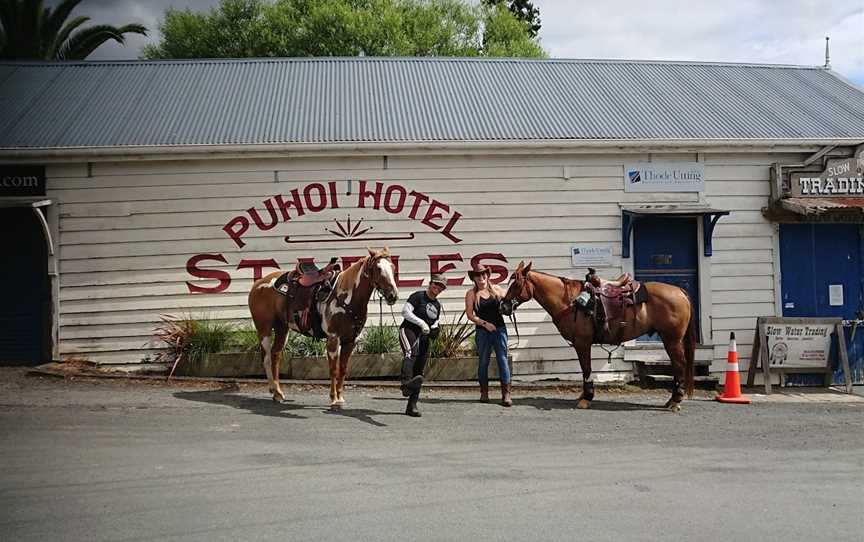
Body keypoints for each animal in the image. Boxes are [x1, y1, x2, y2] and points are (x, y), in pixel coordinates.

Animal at [248, 250, 400, 408]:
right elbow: (333, 370)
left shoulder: (350, 341)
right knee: (266, 358)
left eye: (392, 267)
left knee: (275, 355)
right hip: (264, 329)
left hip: (282, 329)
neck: (345, 299)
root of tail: (258, 284)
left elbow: (343, 369)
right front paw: (333, 399)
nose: (393, 295)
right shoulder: (333, 339)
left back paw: (278, 393)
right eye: (378, 268)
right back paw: (274, 390)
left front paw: (340, 397)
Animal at [500, 262, 696, 412]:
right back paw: (671, 400)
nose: (503, 306)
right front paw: (584, 395)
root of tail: (680, 291)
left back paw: (676, 401)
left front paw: (586, 398)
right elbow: (584, 370)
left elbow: (586, 369)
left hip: (671, 339)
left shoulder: (582, 342)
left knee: (680, 365)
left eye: (516, 284)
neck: (570, 302)